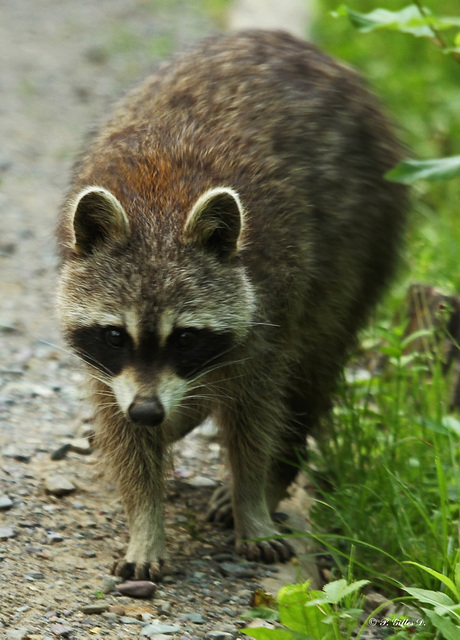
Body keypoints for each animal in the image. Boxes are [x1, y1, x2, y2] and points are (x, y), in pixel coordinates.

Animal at [56, 28, 406, 580]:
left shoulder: (269, 306)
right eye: (115, 334)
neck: (158, 207)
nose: (149, 410)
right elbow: (124, 431)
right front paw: (145, 523)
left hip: (362, 240)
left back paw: (274, 473)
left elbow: (256, 416)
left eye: (184, 337)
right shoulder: (109, 367)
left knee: (309, 373)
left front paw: (253, 500)